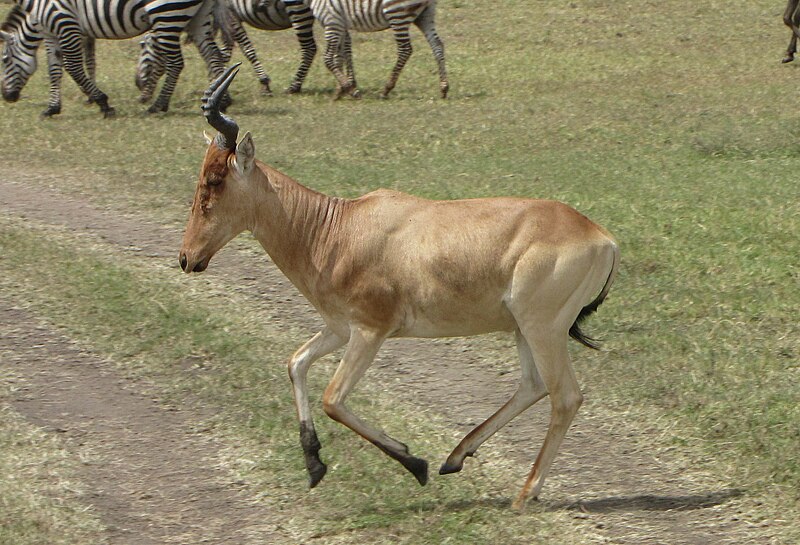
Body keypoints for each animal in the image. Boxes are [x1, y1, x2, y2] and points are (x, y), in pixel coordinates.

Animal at [3, 0, 227, 117]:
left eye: (4, 60)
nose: (6, 97)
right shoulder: (51, 33)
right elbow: (54, 69)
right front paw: (52, 108)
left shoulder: (65, 24)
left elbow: (73, 67)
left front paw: (102, 102)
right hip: (198, 16)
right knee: (212, 55)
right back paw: (220, 101)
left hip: (166, 13)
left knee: (176, 63)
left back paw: (158, 106)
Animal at [180, 66, 620, 508]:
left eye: (215, 179)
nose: (187, 258)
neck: (337, 227)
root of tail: (600, 237)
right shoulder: (340, 328)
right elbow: (296, 363)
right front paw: (315, 465)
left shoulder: (371, 330)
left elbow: (332, 398)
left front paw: (415, 463)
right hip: (521, 327)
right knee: (533, 386)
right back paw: (456, 458)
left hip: (542, 327)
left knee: (565, 396)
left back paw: (523, 495)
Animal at [306, 0, 446, 99]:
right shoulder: (339, 25)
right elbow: (341, 54)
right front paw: (340, 90)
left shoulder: (332, 22)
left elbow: (328, 59)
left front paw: (350, 89)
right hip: (425, 15)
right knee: (437, 45)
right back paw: (444, 87)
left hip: (397, 12)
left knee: (405, 49)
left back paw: (386, 89)